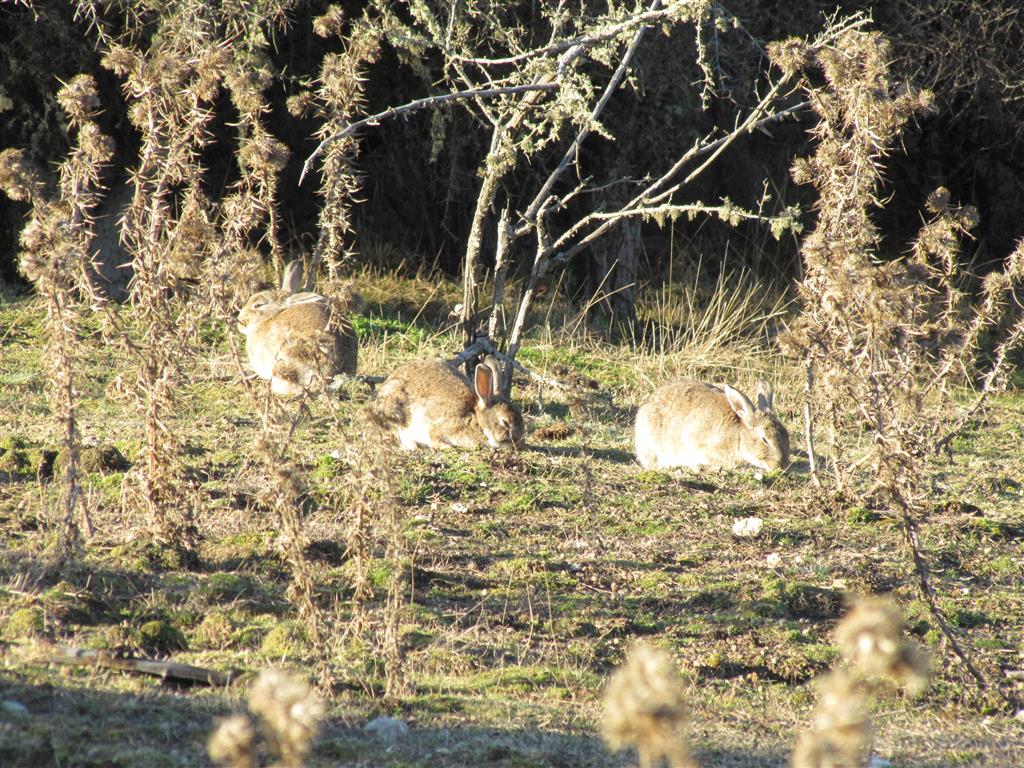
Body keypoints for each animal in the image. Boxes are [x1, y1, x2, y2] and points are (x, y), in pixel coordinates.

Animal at [368, 360, 528, 454]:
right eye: (505, 422)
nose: (520, 443)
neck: (476, 420)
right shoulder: (437, 428)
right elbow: (434, 438)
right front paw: (446, 447)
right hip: (395, 410)